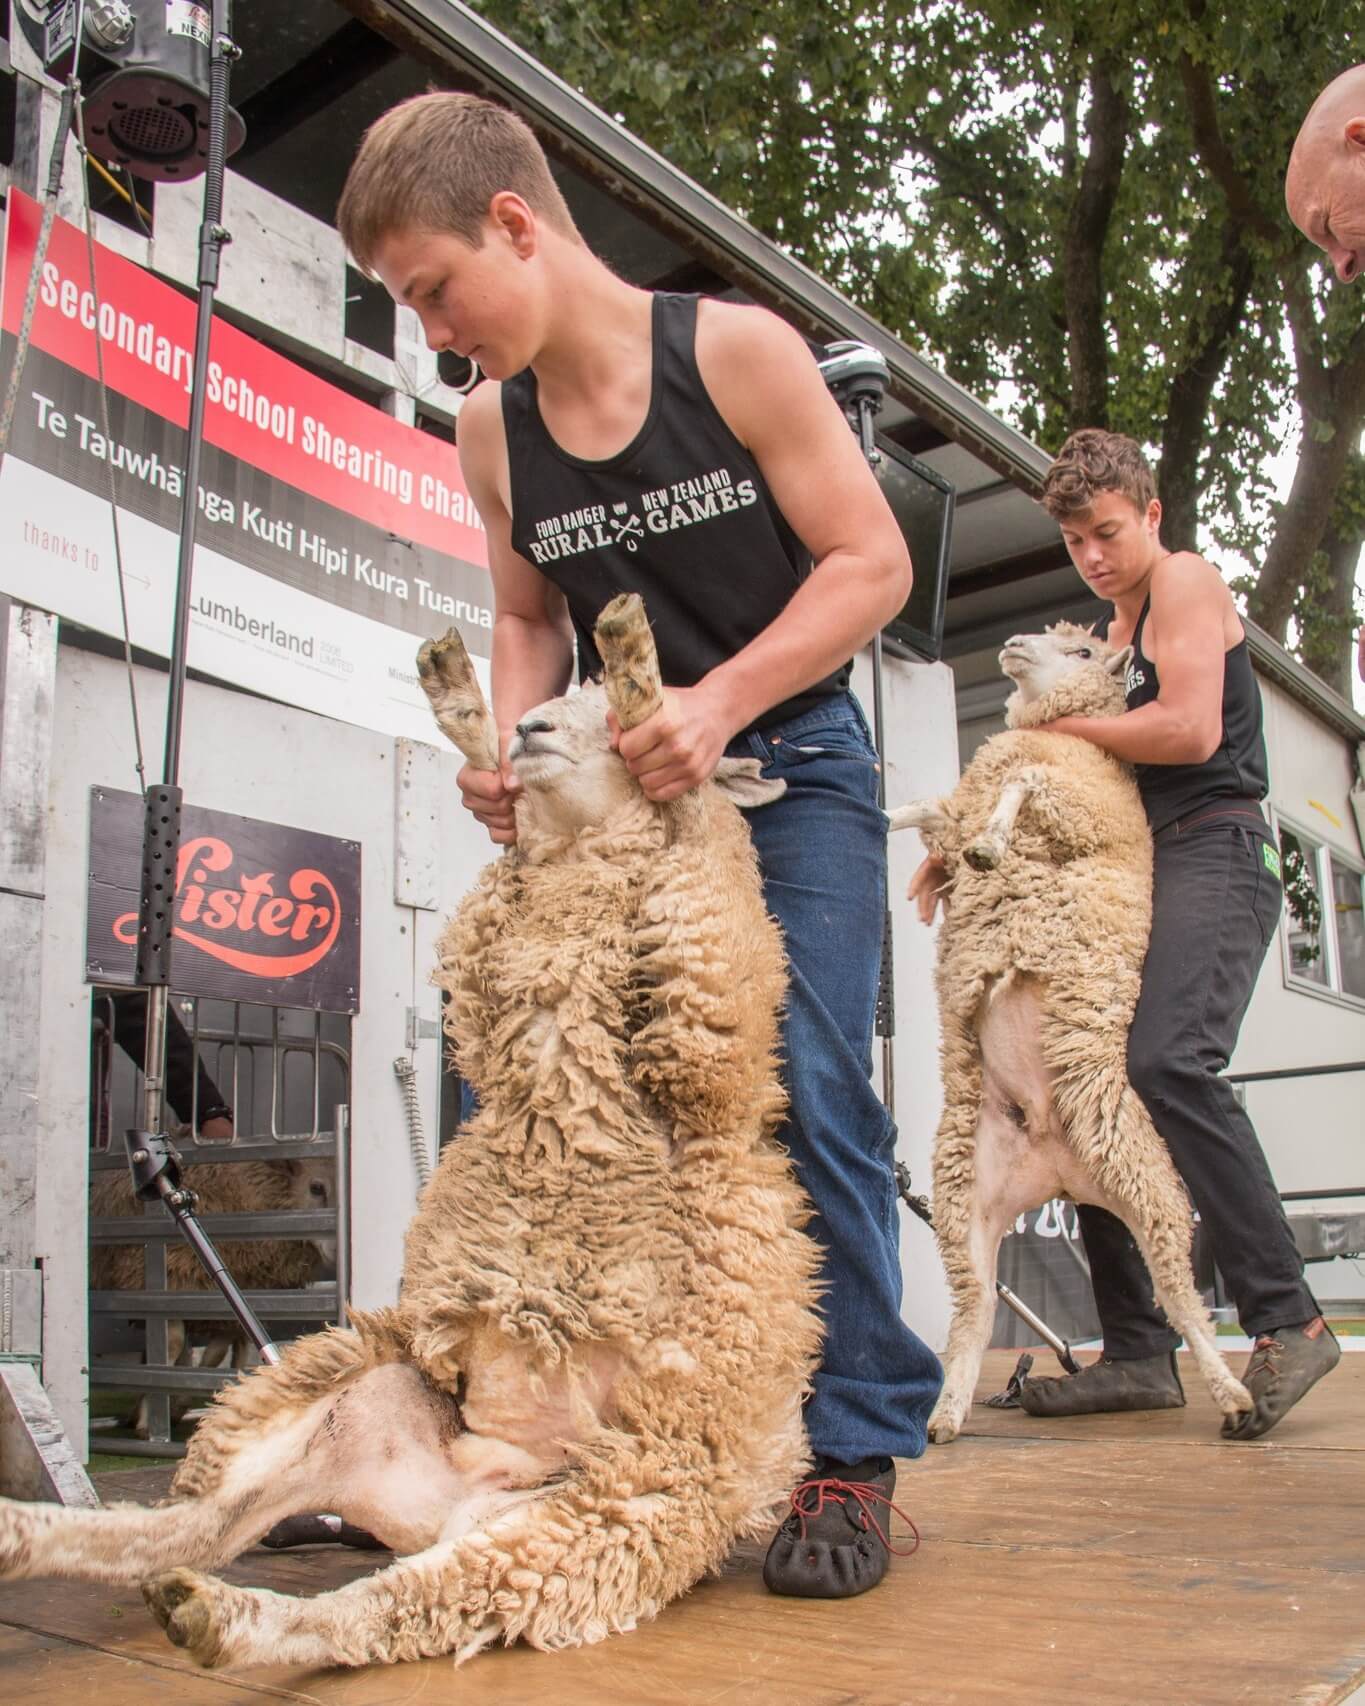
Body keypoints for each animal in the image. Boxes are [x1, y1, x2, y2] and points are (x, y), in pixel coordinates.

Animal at [0, 597, 822, 1665]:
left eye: (609, 722)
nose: (535, 729)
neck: (576, 896)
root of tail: (464, 1491)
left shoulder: (710, 1016)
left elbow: (690, 830)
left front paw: (637, 668)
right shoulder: (486, 965)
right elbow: (501, 862)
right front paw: (461, 699)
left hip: (598, 1517)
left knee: (366, 1608)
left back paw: (223, 1617)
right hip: (335, 1393)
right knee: (201, 1526)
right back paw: (46, 1540)